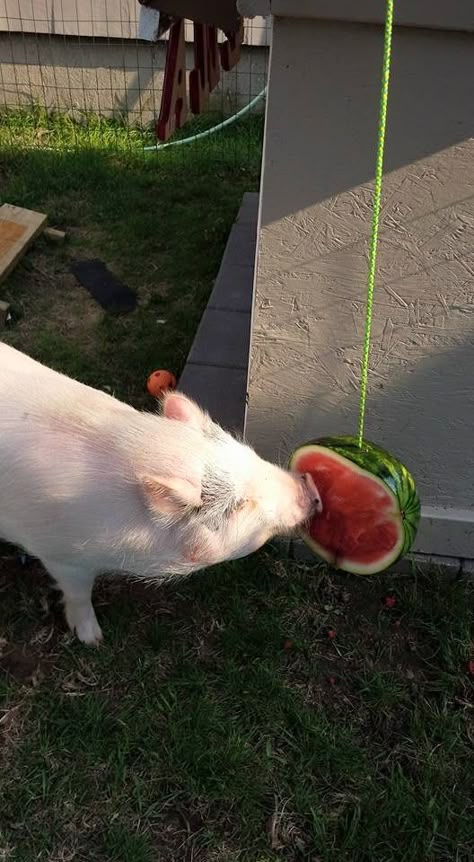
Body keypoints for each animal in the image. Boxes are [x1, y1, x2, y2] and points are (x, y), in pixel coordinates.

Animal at [0, 342, 320, 640]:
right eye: (239, 505)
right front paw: (94, 639)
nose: (311, 486)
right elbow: (79, 593)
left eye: (249, 453)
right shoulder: (61, 556)